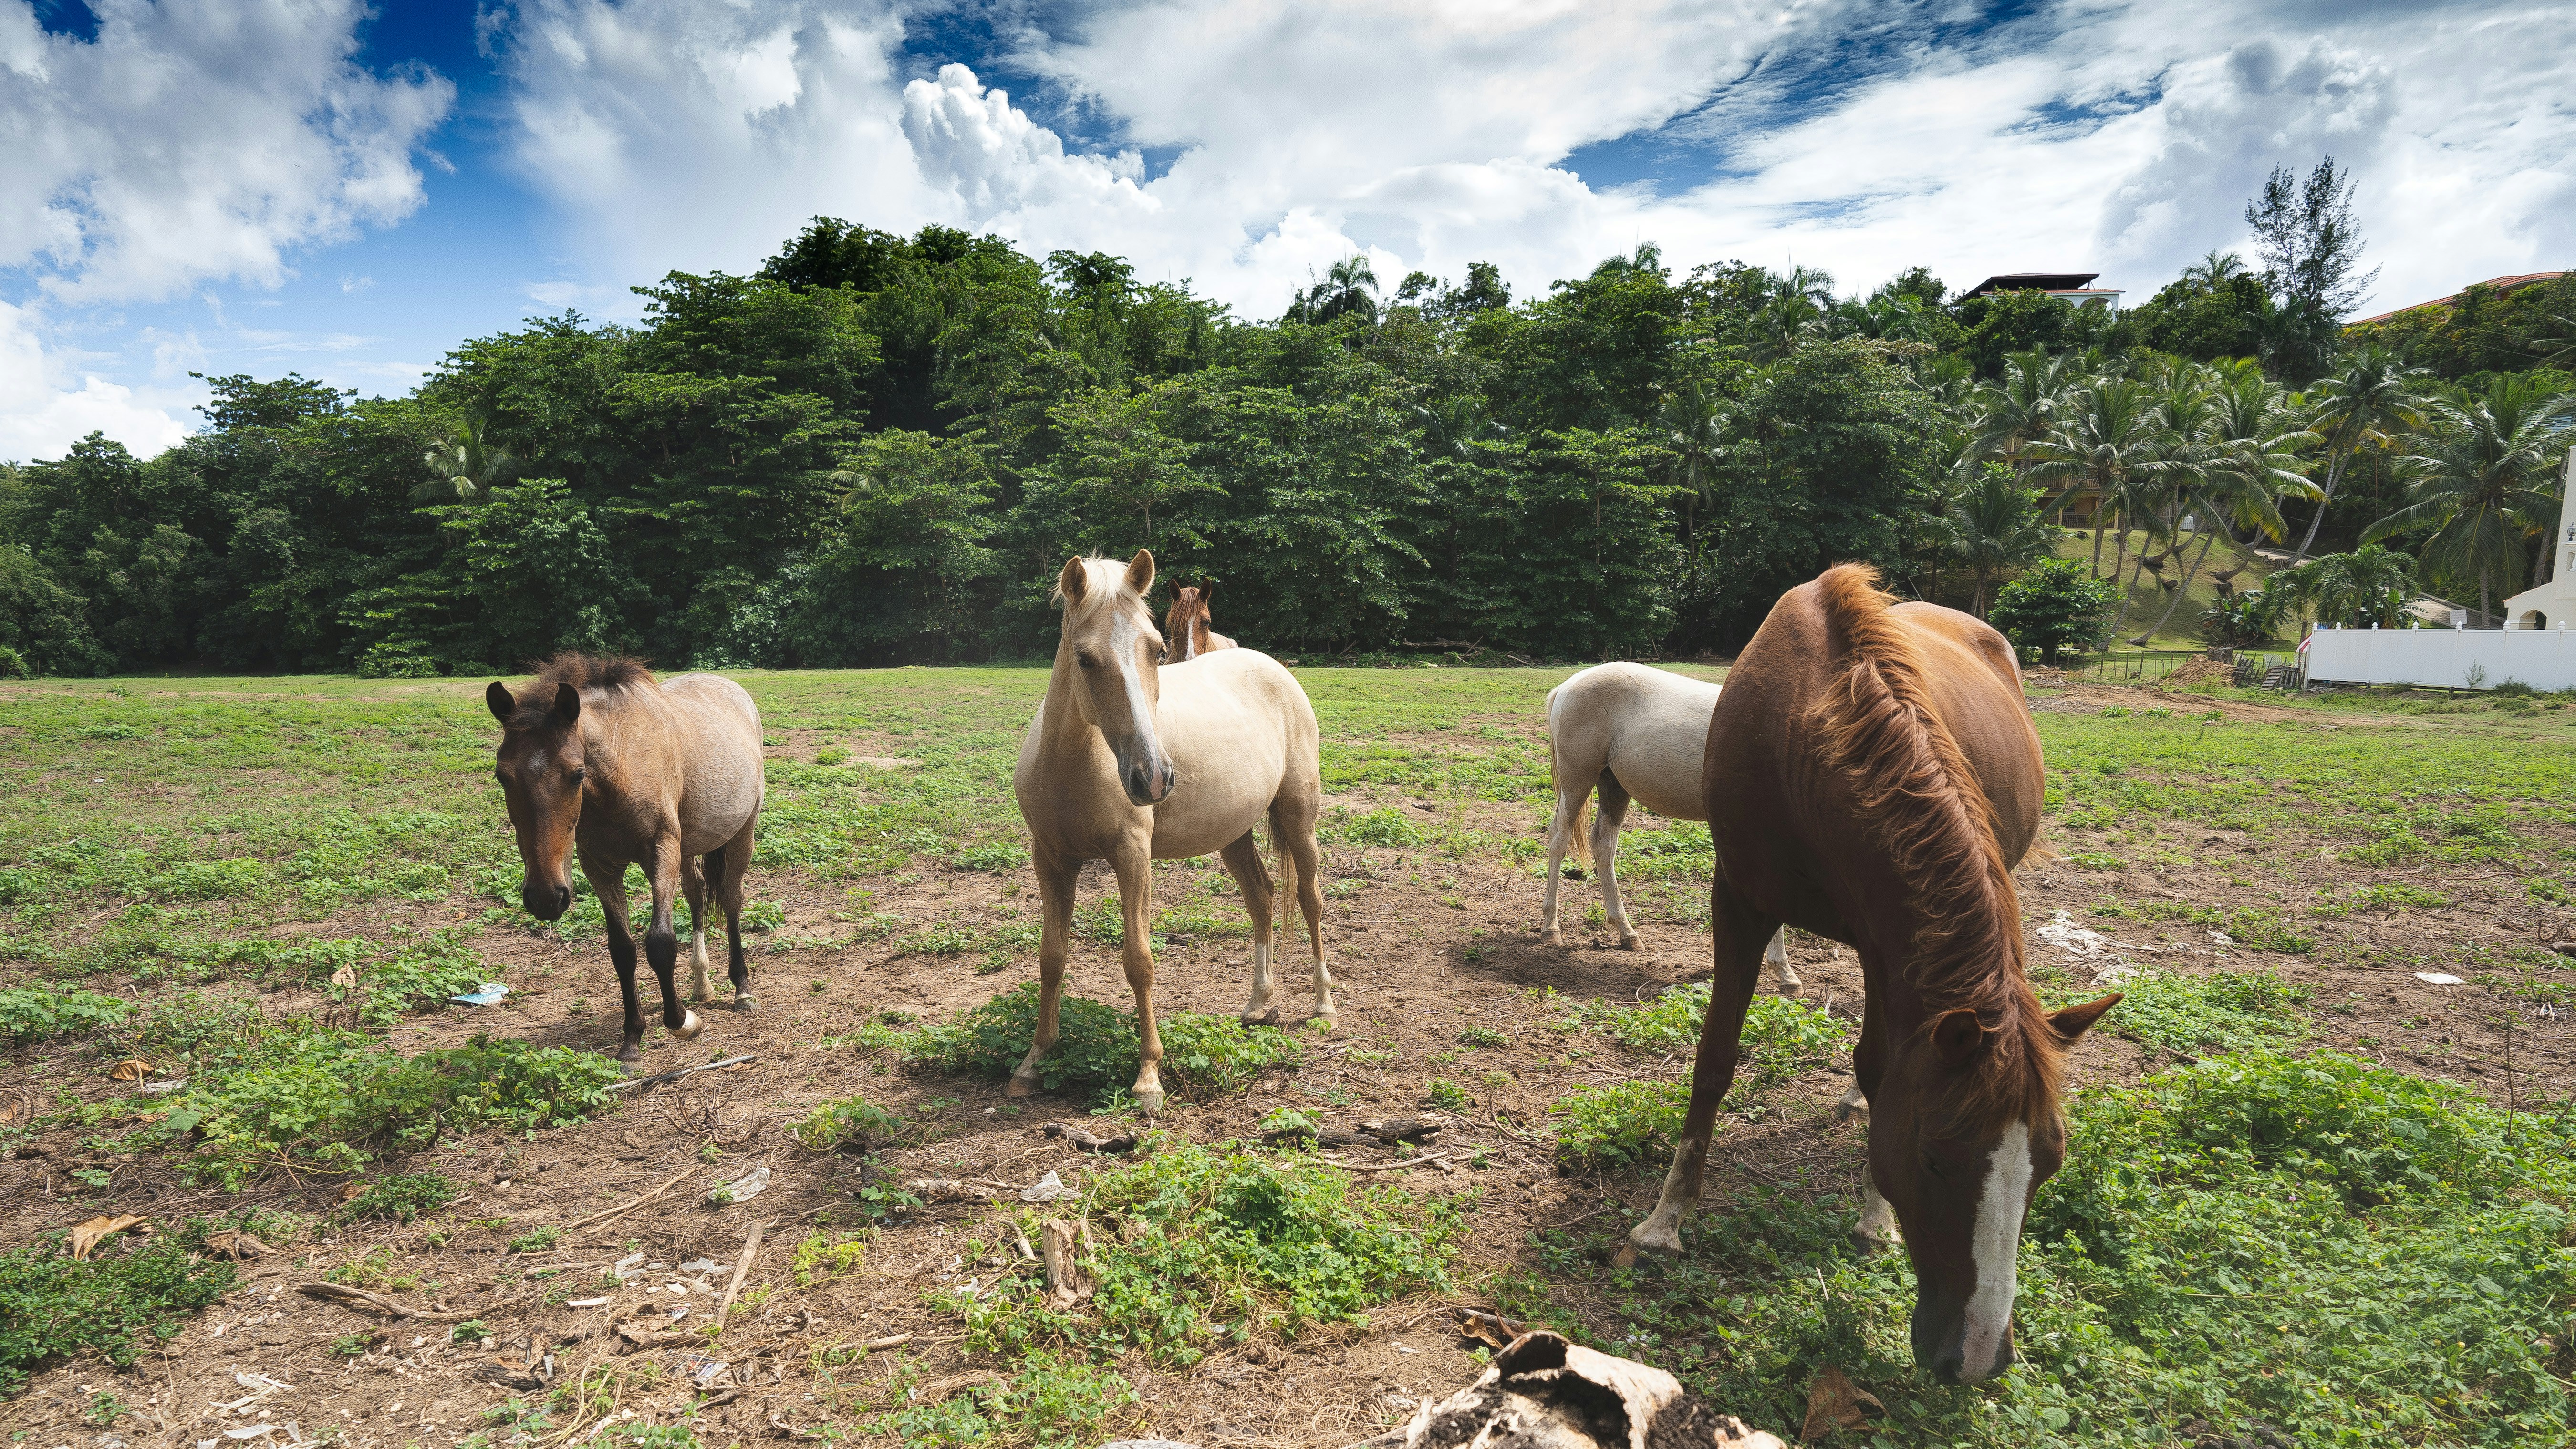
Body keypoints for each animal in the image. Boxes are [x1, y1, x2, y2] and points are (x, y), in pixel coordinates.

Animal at [485, 655, 765, 1064]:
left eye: (577, 775)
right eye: (502, 776)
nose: (545, 898)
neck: (623, 764)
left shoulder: (660, 852)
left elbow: (661, 944)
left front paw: (683, 1022)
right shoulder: (601, 868)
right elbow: (622, 950)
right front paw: (633, 1037)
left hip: (742, 831)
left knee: (731, 899)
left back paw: (742, 988)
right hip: (688, 847)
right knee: (697, 897)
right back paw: (702, 985)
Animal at [1540, 662, 1798, 993]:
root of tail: (1568, 685)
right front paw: (1784, 973)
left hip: (1613, 786)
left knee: (1603, 846)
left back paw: (1627, 933)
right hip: (1577, 781)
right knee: (1558, 841)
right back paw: (1551, 928)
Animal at [1617, 566, 2118, 1385]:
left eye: (2049, 1165)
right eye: (1934, 1157)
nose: (1977, 1357)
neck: (1807, 728)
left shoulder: (1889, 944)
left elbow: (1884, 1068)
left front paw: (1872, 1212)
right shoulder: (1739, 900)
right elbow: (1716, 1056)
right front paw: (1666, 1218)